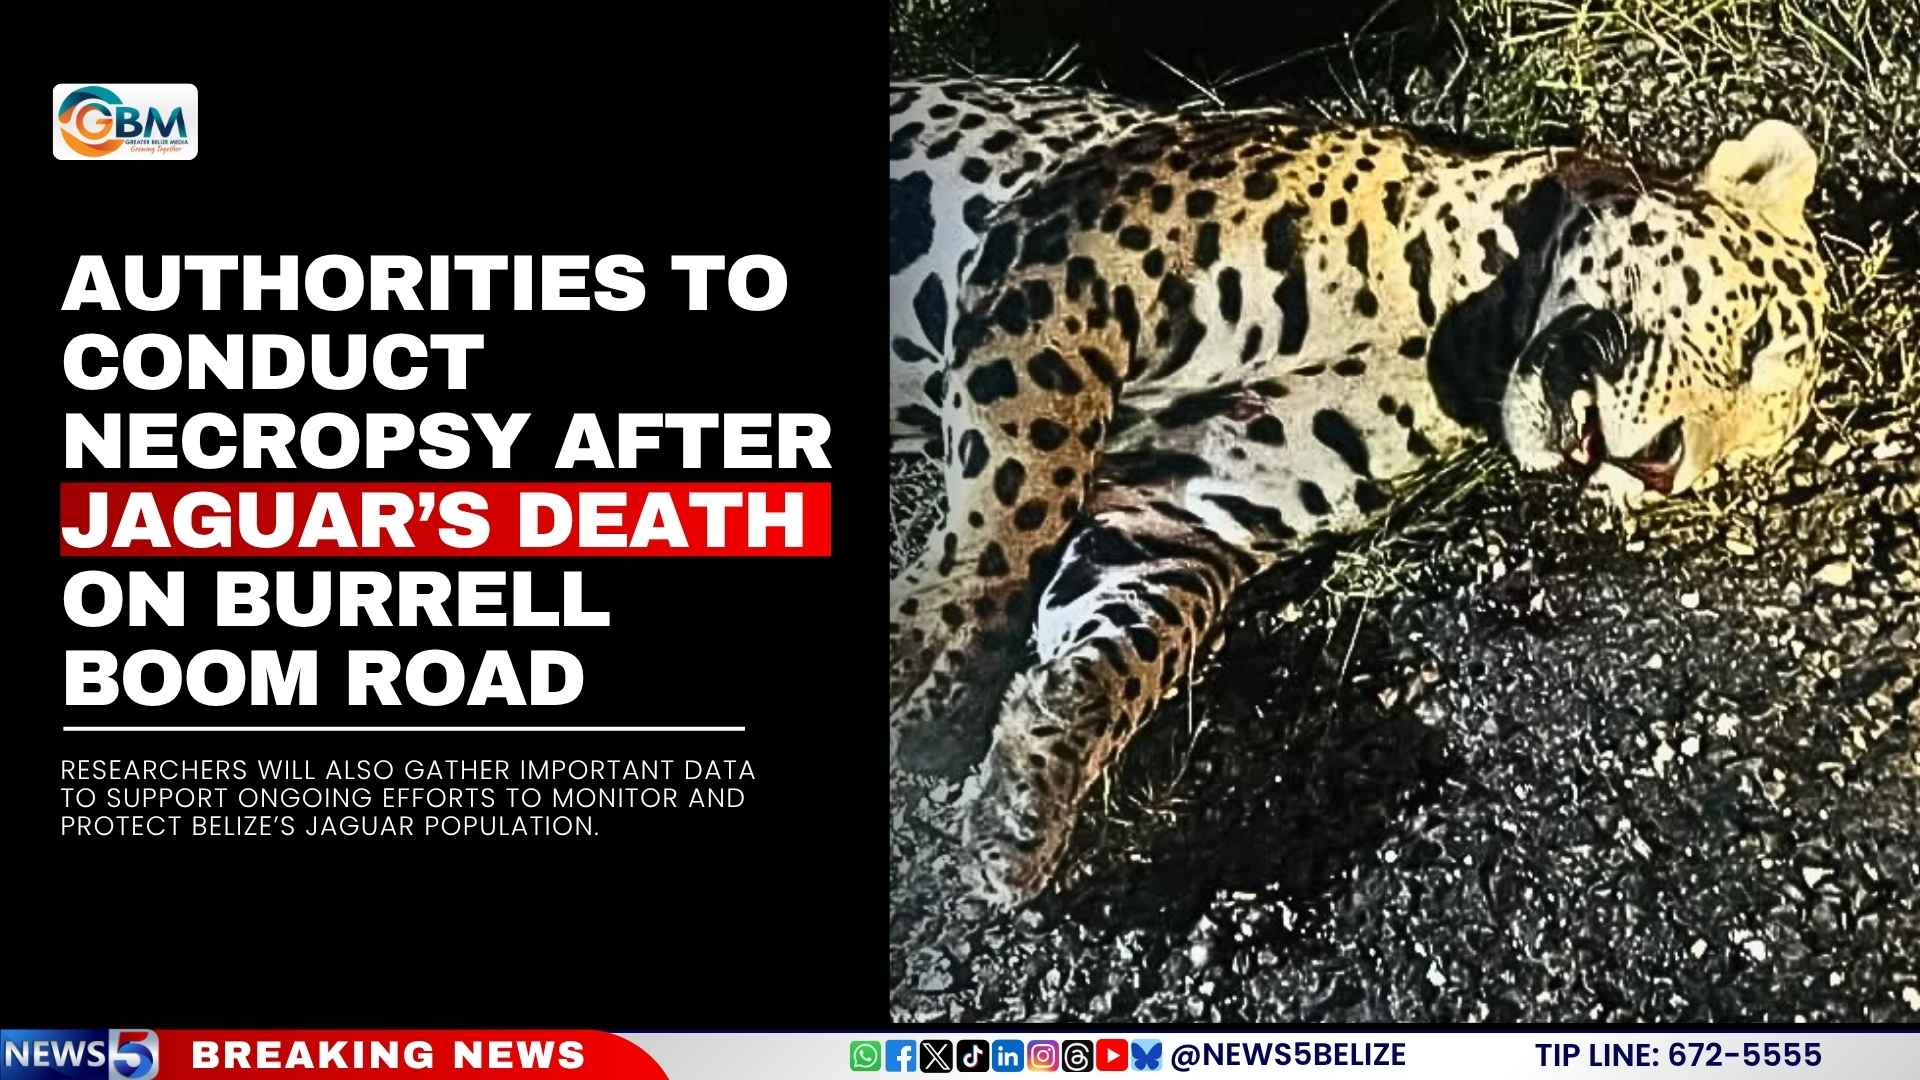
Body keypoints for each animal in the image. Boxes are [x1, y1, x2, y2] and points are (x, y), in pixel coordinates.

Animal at [887, 75, 1830, 906]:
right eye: (1754, 339)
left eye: (1729, 466)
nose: (1663, 468)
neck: (1463, 336)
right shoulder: (1078, 249)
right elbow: (1028, 476)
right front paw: (927, 661)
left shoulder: (1190, 500)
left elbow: (1138, 643)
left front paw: (1031, 784)